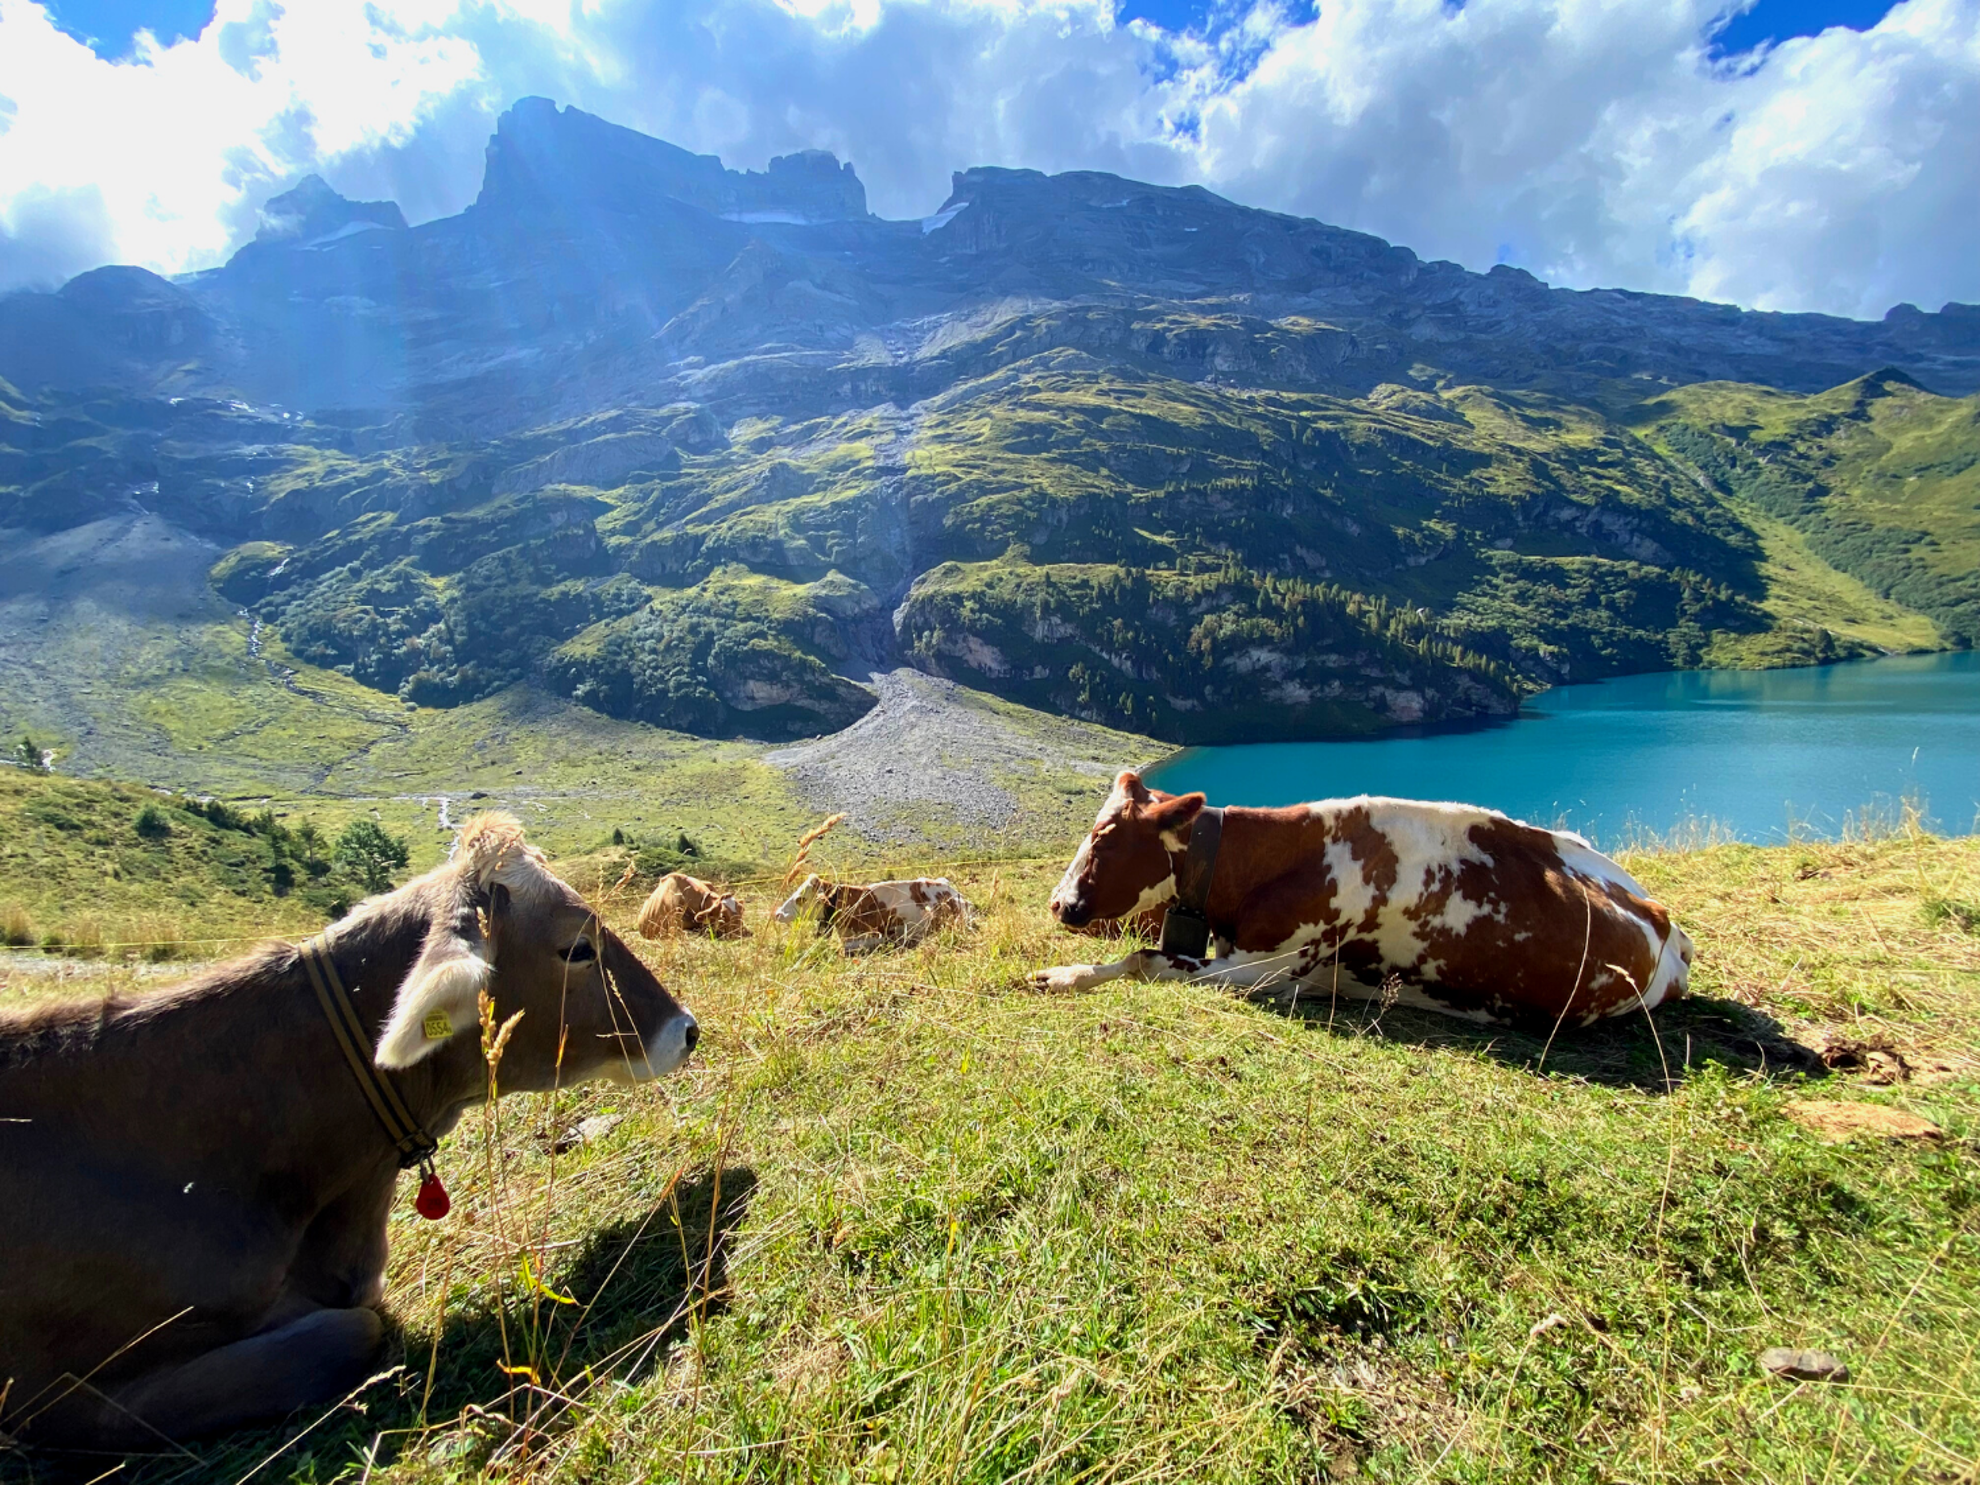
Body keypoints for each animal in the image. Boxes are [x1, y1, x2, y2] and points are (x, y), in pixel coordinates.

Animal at [1029, 772, 1694, 1029]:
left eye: (1103, 837)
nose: (1059, 905)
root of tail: (1668, 924)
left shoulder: (1262, 970)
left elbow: (1142, 959)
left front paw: (1063, 976)